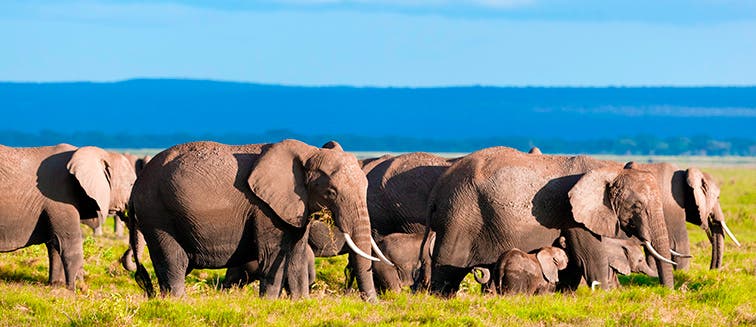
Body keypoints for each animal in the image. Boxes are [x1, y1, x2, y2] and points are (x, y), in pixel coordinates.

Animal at [0, 145, 137, 290]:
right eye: (131, 184)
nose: (128, 254)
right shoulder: (60, 197)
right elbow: (69, 243)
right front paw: (77, 288)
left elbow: (55, 244)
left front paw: (56, 286)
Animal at [129, 140, 390, 302]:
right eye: (331, 192)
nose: (374, 303)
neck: (308, 152)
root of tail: (136, 186)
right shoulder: (264, 208)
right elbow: (273, 254)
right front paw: (270, 303)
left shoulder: (295, 206)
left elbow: (296, 255)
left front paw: (300, 302)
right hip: (157, 212)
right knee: (173, 259)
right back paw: (180, 302)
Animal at [422, 147, 676, 298]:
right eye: (637, 206)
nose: (669, 295)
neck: (609, 169)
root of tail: (437, 189)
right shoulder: (574, 215)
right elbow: (589, 257)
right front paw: (603, 297)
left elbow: (573, 260)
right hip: (460, 216)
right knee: (446, 270)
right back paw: (440, 299)